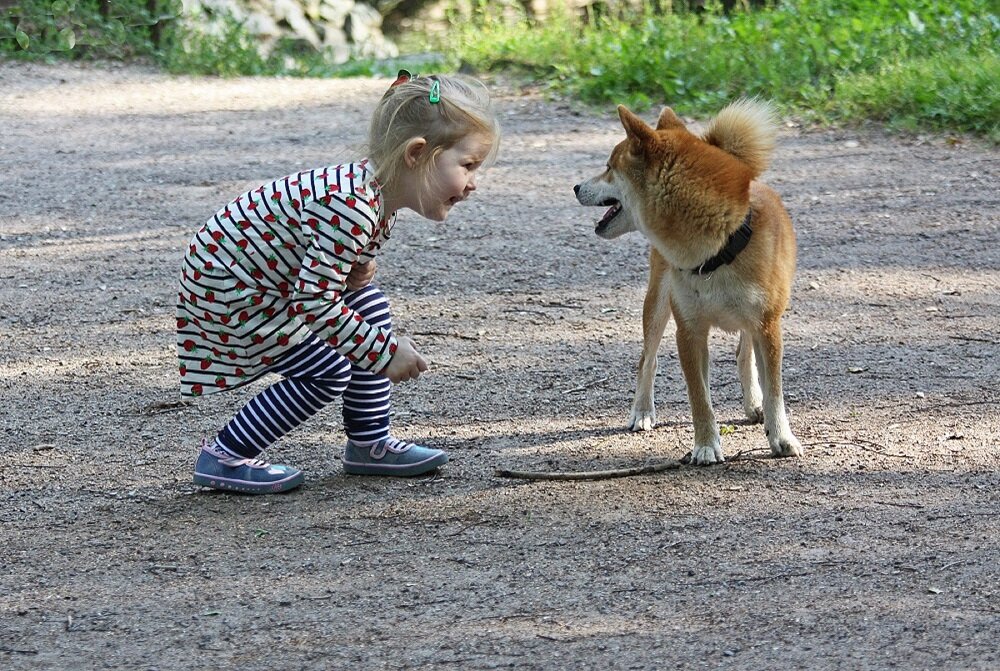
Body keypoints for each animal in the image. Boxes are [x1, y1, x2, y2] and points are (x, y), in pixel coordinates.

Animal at [576, 100, 800, 464]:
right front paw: (706, 445)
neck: (718, 250)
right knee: (647, 360)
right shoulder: (690, 331)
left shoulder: (768, 326)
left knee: (743, 354)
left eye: (609, 167)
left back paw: (753, 403)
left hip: (750, 321)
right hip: (657, 305)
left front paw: (780, 436)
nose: (576, 187)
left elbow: (775, 393)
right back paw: (642, 411)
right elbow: (700, 399)